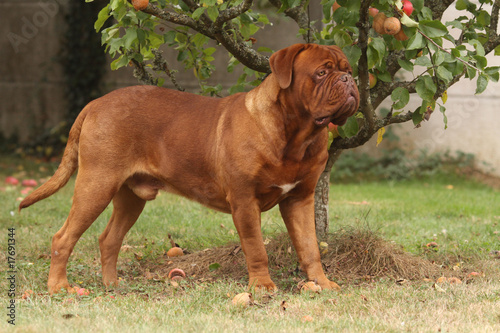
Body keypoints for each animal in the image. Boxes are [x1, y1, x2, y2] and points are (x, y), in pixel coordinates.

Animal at [18, 43, 356, 294]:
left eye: (348, 70)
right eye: (321, 72)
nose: (349, 81)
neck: (295, 136)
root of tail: (94, 103)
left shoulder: (300, 199)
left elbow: (310, 247)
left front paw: (322, 283)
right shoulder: (245, 201)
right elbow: (256, 248)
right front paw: (262, 287)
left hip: (130, 196)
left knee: (109, 239)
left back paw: (113, 284)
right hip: (96, 185)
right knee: (63, 238)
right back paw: (59, 287)